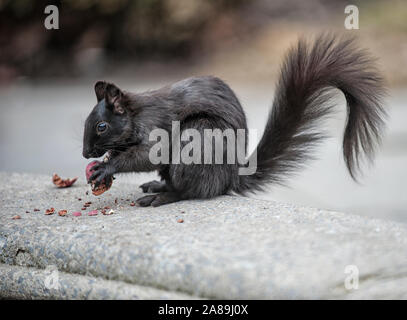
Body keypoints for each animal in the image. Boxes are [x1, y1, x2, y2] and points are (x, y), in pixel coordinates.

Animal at [82, 33, 386, 206]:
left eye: (102, 126)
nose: (85, 153)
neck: (136, 114)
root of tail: (228, 180)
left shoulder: (156, 127)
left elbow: (146, 155)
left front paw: (105, 168)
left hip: (198, 139)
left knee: (189, 191)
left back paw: (161, 196)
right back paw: (158, 186)